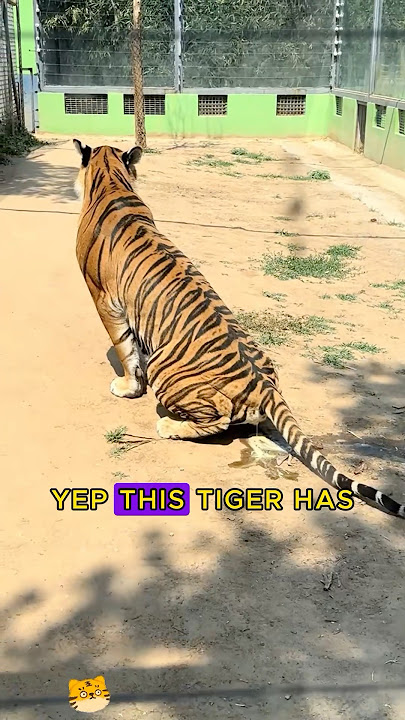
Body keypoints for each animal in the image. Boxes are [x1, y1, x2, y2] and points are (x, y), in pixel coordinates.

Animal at [73, 139, 405, 520]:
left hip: (166, 370)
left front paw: (126, 386)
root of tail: (265, 385)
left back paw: (169, 425)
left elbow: (124, 348)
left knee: (217, 419)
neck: (113, 182)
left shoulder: (104, 300)